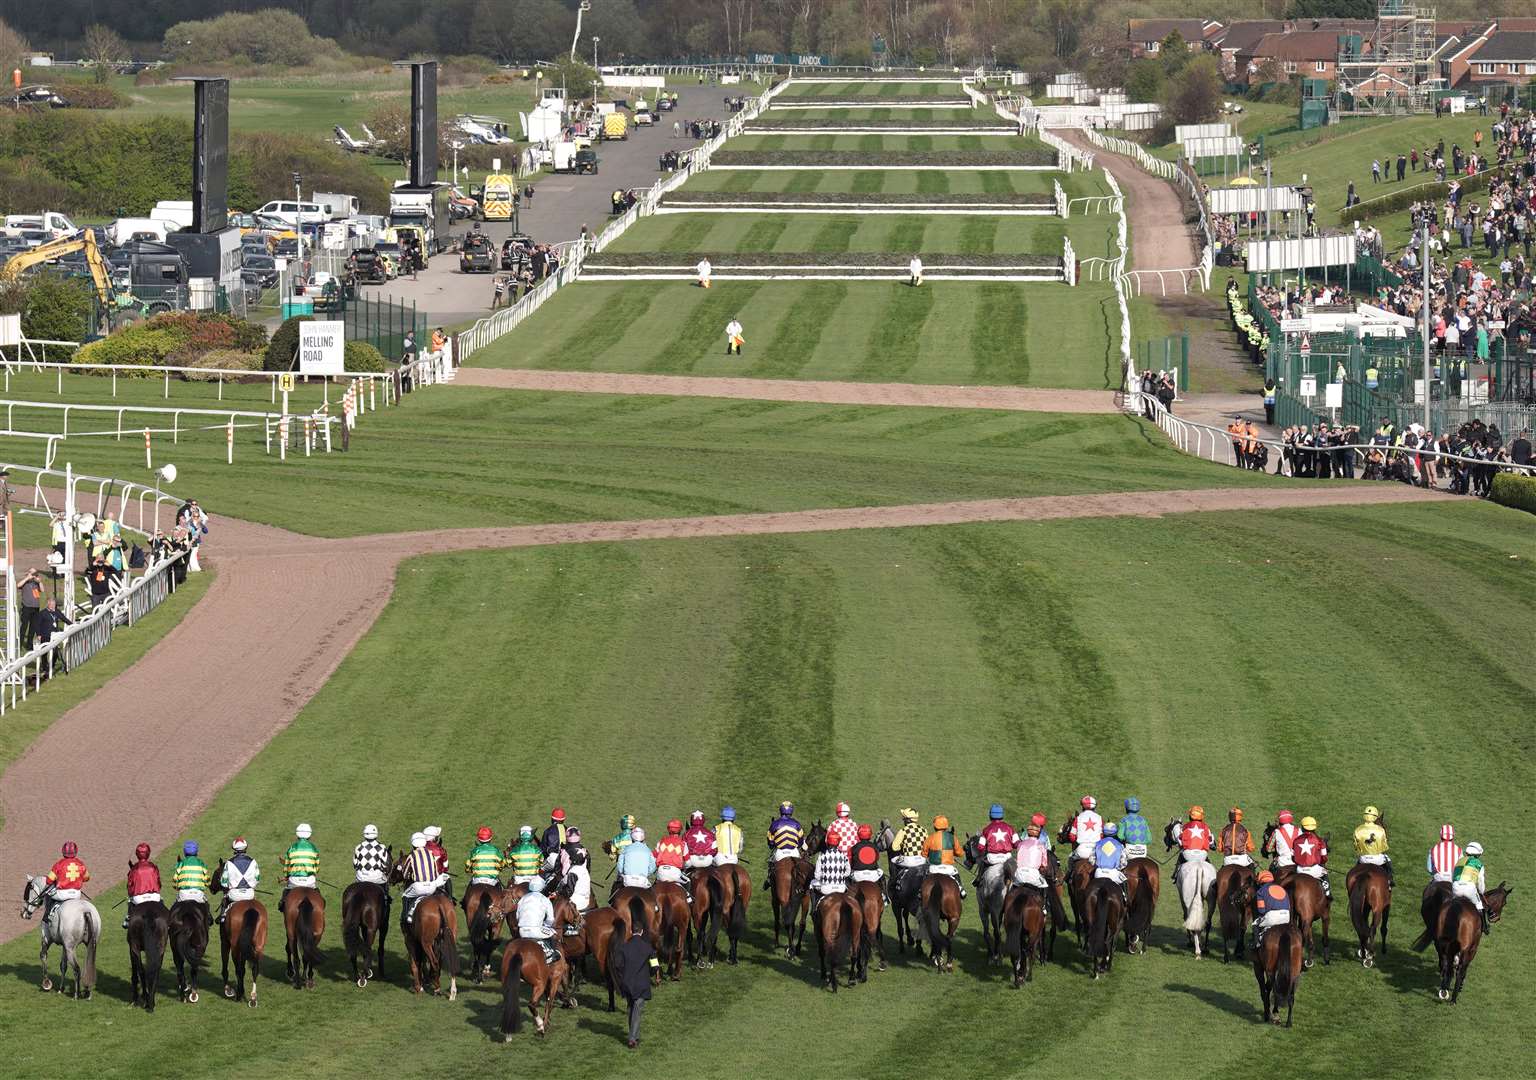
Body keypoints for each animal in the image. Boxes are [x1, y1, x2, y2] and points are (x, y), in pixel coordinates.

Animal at [21, 872, 102, 1001]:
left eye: (27, 890)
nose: (24, 913)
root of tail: (86, 911)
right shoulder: (64, 945)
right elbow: (63, 965)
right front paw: (61, 988)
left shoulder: (46, 939)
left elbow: (43, 955)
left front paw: (46, 983)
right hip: (90, 944)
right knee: (89, 964)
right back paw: (87, 992)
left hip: (70, 948)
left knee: (77, 969)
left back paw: (76, 994)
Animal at [211, 866, 265, 1007]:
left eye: (216, 873)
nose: (211, 888)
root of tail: (250, 909)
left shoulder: (225, 942)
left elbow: (226, 966)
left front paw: (228, 990)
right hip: (259, 944)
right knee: (255, 968)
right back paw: (252, 998)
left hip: (235, 945)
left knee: (238, 969)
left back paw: (239, 995)